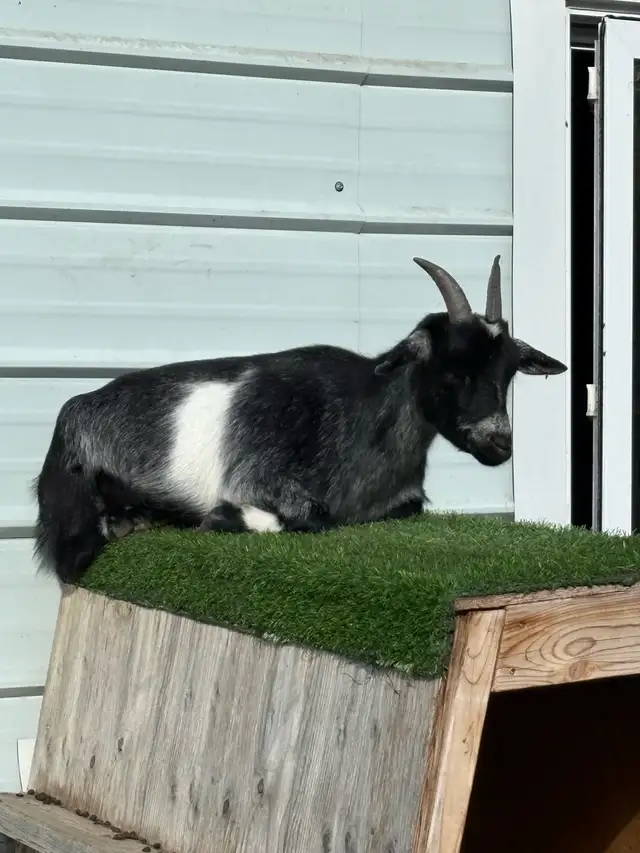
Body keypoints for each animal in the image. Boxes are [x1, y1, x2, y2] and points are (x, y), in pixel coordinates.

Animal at [33, 255, 567, 585]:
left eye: (508, 372)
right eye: (453, 370)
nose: (500, 443)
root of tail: (75, 408)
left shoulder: (405, 501)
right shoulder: (259, 472)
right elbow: (313, 516)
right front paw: (224, 517)